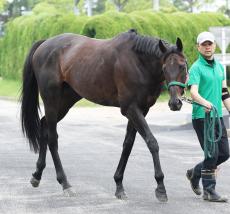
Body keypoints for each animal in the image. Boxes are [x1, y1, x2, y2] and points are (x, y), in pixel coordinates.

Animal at [20, 29, 188, 201]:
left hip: (66, 101)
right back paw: (65, 183)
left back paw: (37, 174)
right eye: (164, 68)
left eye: (182, 66)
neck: (138, 62)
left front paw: (119, 184)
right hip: (51, 100)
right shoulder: (130, 109)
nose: (175, 103)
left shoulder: (141, 110)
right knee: (53, 138)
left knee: (44, 125)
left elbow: (128, 144)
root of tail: (45, 44)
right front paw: (161, 188)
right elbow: (152, 142)